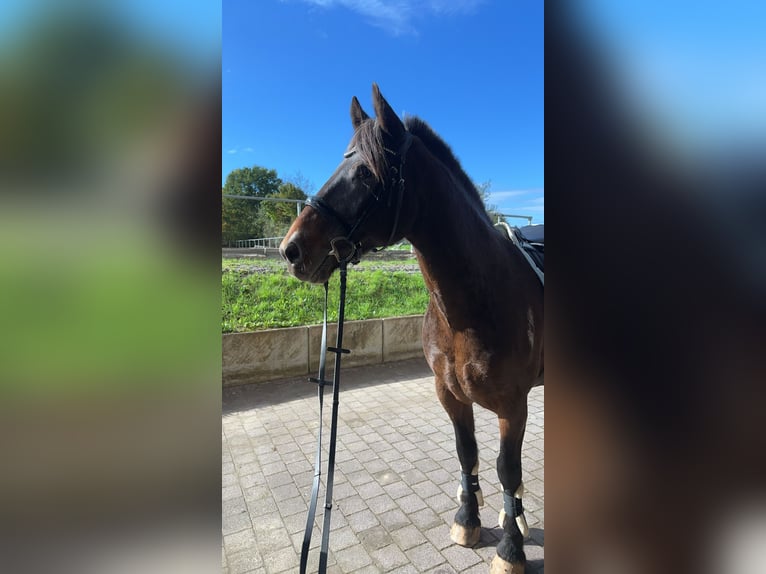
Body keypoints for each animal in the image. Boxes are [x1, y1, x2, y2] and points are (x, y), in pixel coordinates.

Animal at [280, 83, 544, 572]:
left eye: (366, 173)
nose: (292, 249)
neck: (476, 301)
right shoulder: (449, 393)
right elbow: (468, 453)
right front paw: (469, 521)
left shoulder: (512, 405)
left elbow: (507, 468)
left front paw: (510, 549)